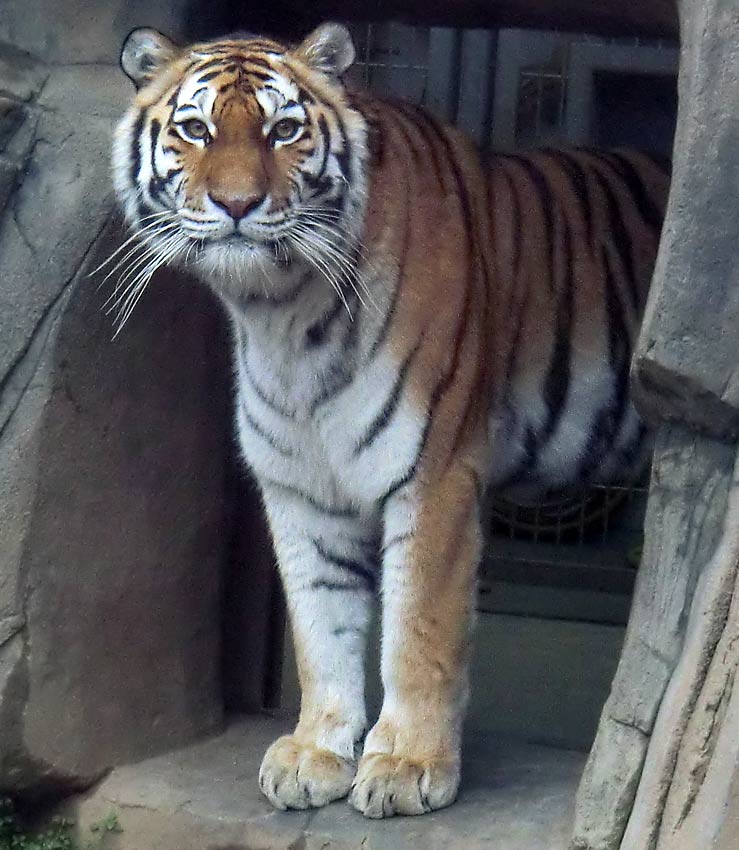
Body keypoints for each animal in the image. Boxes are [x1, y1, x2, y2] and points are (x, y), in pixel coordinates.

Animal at [111, 24, 672, 816]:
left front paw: (408, 765)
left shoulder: (434, 472)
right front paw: (315, 752)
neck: (281, 315)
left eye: (283, 131)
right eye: (196, 130)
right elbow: (320, 627)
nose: (237, 204)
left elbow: (417, 630)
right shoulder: (299, 488)